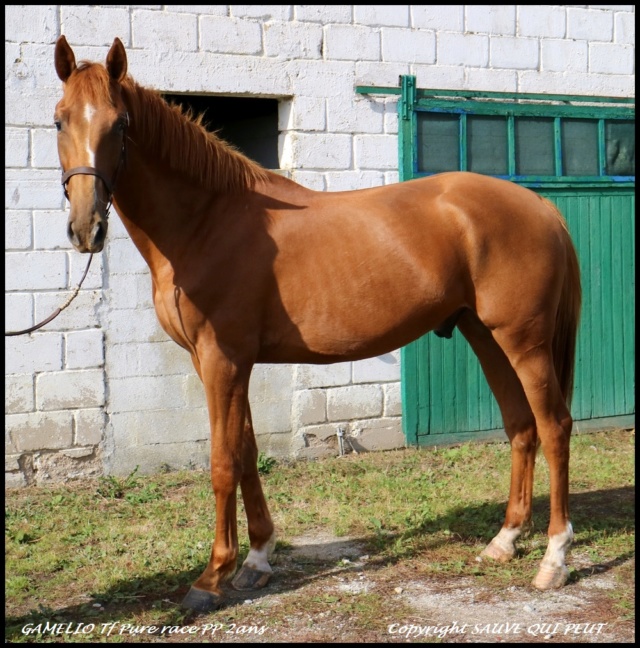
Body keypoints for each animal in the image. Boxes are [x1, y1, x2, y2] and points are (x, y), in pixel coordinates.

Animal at [53, 36, 580, 612]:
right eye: (59, 120)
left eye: (120, 124)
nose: (86, 229)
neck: (208, 221)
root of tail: (543, 206)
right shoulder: (224, 361)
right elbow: (246, 452)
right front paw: (257, 560)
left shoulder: (222, 359)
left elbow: (222, 461)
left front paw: (211, 578)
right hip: (484, 335)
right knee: (521, 426)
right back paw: (504, 541)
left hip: (524, 342)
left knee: (554, 427)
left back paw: (554, 559)